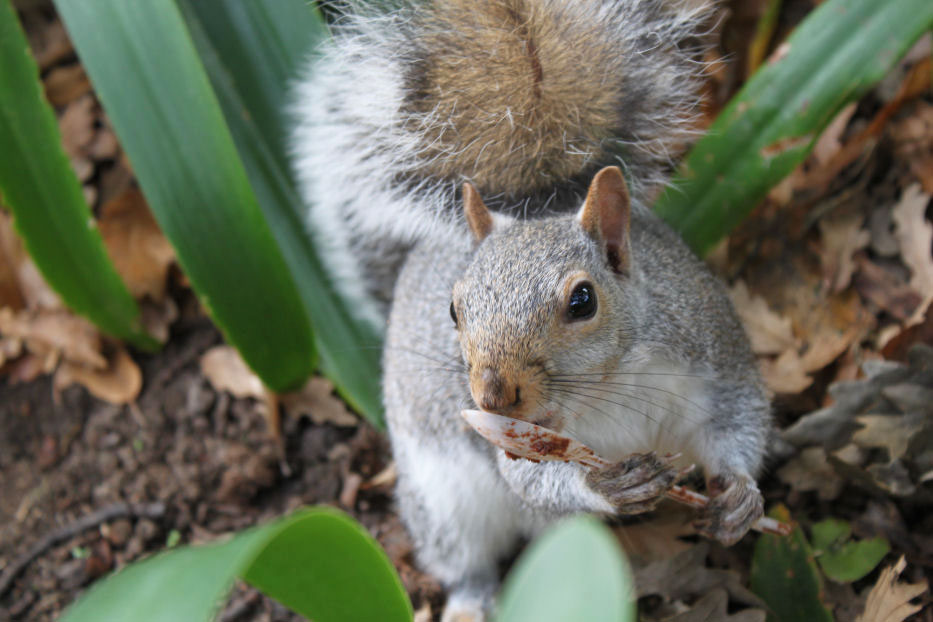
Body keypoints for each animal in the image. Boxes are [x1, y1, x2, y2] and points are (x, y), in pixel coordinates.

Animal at [292, 1, 770, 620]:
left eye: (582, 300)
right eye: (454, 309)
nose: (492, 394)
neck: (608, 385)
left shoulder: (711, 346)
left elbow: (741, 416)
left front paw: (740, 496)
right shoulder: (514, 438)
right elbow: (531, 479)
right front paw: (607, 489)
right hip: (441, 496)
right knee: (461, 553)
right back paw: (471, 599)